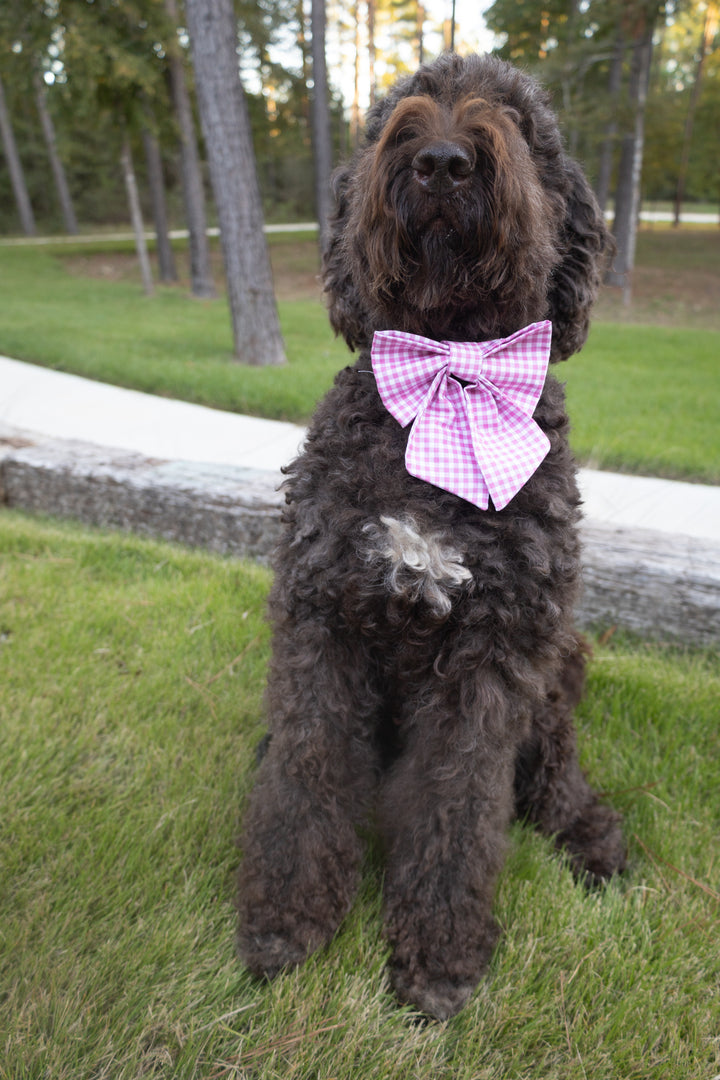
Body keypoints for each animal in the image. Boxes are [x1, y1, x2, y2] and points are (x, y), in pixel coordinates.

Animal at [239, 52, 626, 1019]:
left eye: (520, 121)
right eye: (389, 118)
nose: (444, 162)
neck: (450, 365)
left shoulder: (493, 654)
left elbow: (461, 807)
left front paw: (440, 956)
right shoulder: (323, 621)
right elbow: (305, 774)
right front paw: (286, 921)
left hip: (558, 662)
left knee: (554, 771)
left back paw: (590, 833)